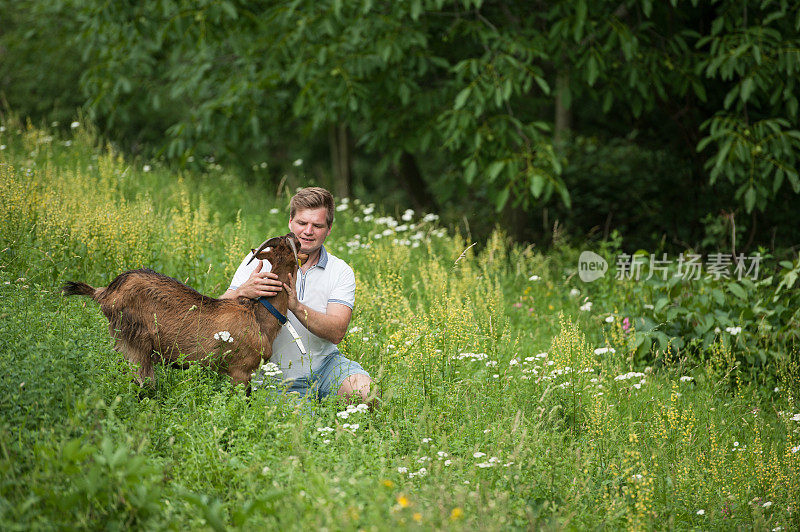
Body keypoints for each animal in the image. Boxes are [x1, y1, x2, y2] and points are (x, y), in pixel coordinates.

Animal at [61, 233, 306, 386]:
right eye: (291, 246)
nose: (297, 237)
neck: (259, 316)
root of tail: (105, 293)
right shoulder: (240, 371)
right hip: (136, 343)